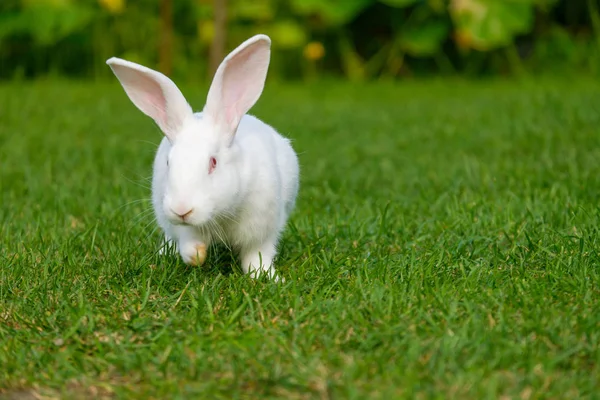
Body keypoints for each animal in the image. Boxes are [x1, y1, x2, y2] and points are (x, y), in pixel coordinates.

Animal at [106, 34, 300, 280]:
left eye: (213, 163)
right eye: (169, 163)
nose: (181, 210)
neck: (221, 214)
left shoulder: (263, 227)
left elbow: (257, 256)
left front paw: (268, 277)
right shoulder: (184, 228)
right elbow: (189, 242)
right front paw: (197, 256)